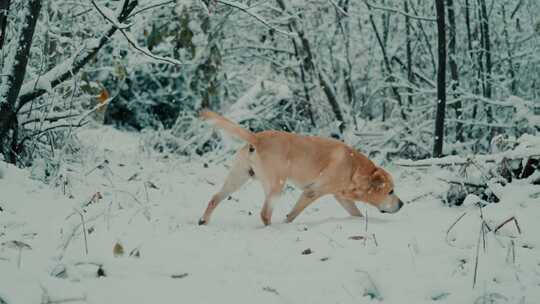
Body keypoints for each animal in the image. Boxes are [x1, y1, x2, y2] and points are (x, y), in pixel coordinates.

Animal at [196, 110, 402, 226]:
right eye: (391, 191)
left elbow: (356, 213)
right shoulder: (312, 192)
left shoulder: (342, 198)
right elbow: (293, 214)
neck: (354, 168)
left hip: (236, 179)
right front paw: (287, 223)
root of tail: (256, 138)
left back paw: (203, 221)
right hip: (276, 186)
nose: (402, 204)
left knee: (214, 198)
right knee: (264, 214)